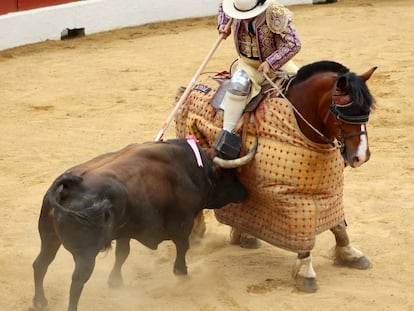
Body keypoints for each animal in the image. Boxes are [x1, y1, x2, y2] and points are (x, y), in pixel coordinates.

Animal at [31, 139, 256, 311]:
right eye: (230, 174)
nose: (245, 192)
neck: (191, 169)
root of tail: (68, 186)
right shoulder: (182, 222)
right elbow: (183, 246)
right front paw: (181, 273)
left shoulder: (124, 231)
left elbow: (122, 254)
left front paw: (115, 281)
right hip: (85, 254)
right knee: (77, 281)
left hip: (49, 239)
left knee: (40, 264)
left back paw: (40, 301)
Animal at [176, 60, 376, 292]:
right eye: (339, 113)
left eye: (367, 111)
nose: (361, 157)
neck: (300, 121)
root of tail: (198, 84)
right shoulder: (290, 197)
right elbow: (302, 229)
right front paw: (306, 272)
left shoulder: (329, 190)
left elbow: (338, 224)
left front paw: (350, 254)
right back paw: (196, 233)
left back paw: (245, 236)